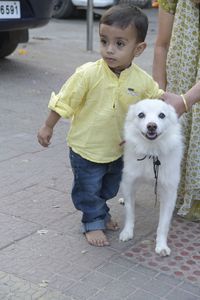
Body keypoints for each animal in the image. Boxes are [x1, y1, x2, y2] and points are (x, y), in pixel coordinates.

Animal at [119, 99, 184, 255]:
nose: (152, 126)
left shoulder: (169, 191)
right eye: (141, 115)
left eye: (162, 115)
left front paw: (161, 246)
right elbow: (129, 212)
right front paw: (127, 233)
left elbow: (163, 224)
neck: (151, 151)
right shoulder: (129, 182)